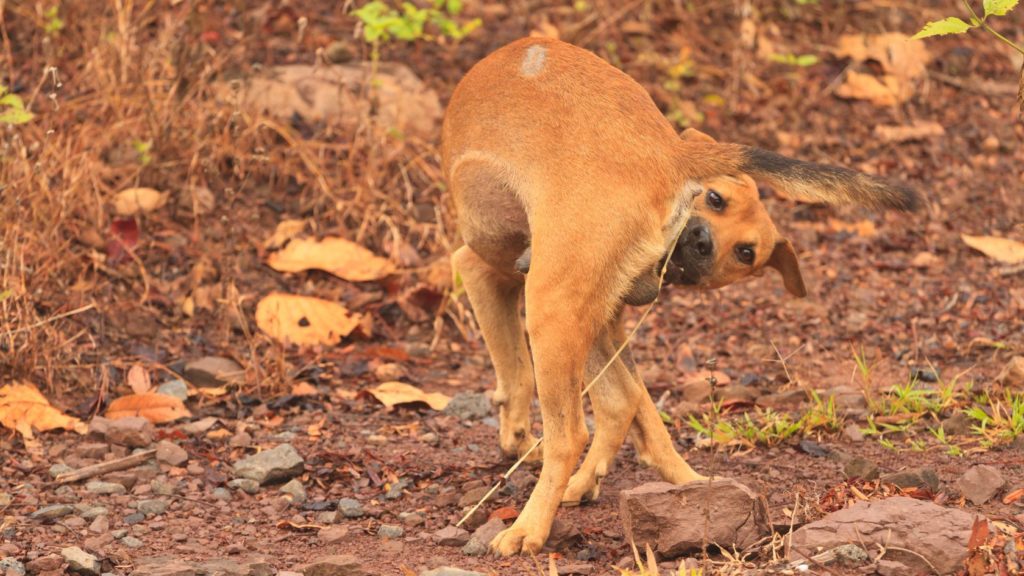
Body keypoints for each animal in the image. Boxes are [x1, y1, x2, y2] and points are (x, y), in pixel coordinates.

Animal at [444, 38, 917, 553]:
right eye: (715, 200)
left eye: (746, 251)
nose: (703, 242)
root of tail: (669, 154)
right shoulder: (605, 321)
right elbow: (639, 408)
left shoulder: (482, 274)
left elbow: (514, 371)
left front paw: (514, 434)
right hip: (577, 320)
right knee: (618, 403)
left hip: (551, 311)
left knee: (570, 434)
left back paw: (527, 528)